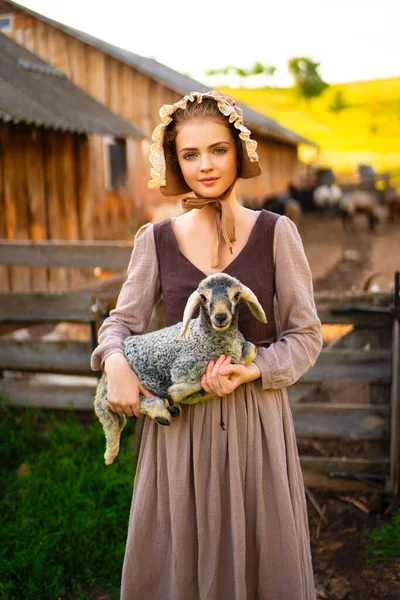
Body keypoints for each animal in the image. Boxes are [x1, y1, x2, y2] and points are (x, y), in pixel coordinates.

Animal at [95, 272, 268, 464]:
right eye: (203, 297)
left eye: (236, 294)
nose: (221, 316)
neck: (205, 337)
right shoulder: (182, 368)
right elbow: (201, 376)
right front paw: (178, 393)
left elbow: (251, 350)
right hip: (118, 391)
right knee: (109, 405)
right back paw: (161, 410)